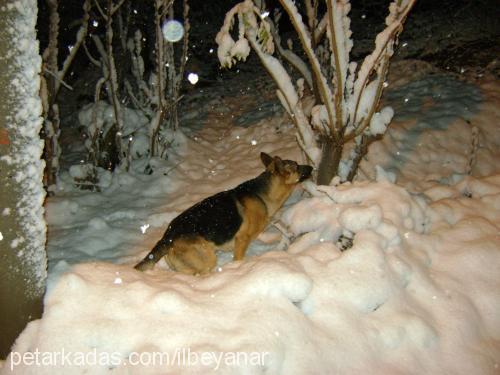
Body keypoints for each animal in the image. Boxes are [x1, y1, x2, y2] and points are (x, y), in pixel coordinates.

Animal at [133, 153, 312, 276]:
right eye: (296, 166)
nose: (311, 167)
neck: (264, 193)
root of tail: (167, 236)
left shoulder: (269, 218)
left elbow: (281, 225)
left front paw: (289, 236)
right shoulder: (242, 240)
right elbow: (239, 259)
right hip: (207, 258)